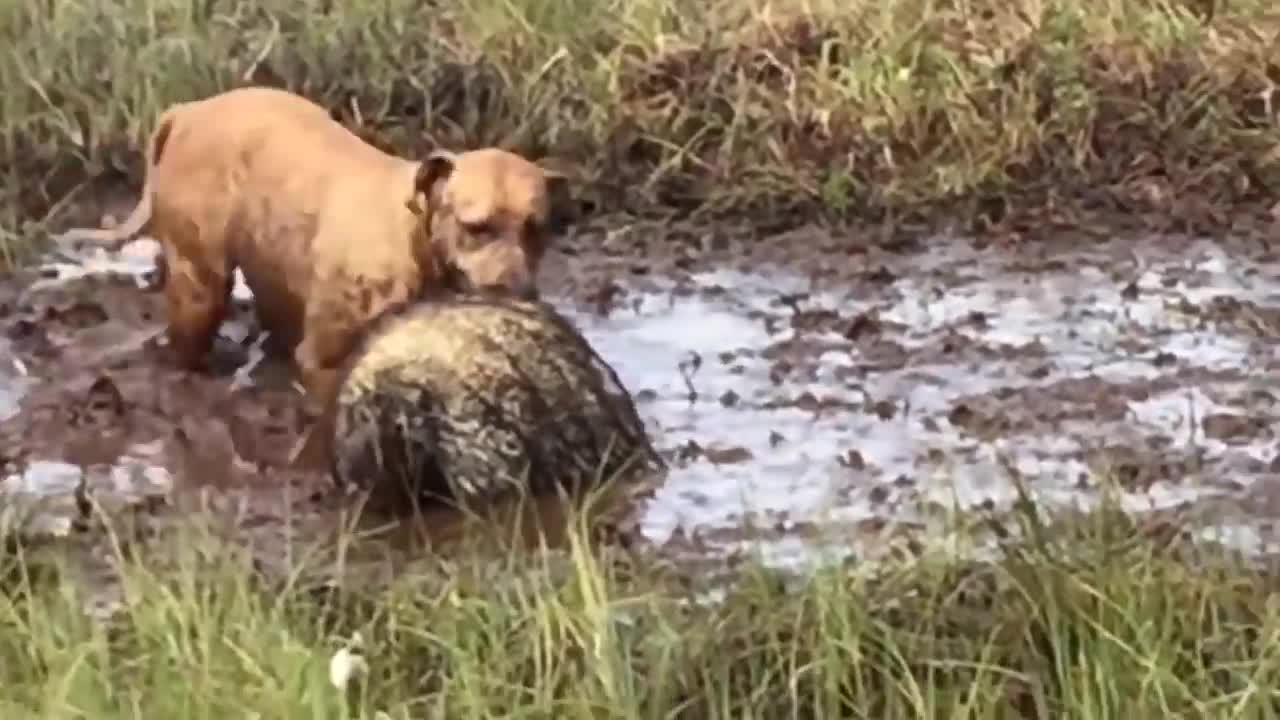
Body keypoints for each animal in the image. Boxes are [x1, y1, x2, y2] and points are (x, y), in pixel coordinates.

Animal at [56, 86, 570, 415]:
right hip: (200, 285)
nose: (519, 292)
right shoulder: (325, 361)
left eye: (536, 229)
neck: (414, 237)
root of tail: (188, 112)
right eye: (476, 227)